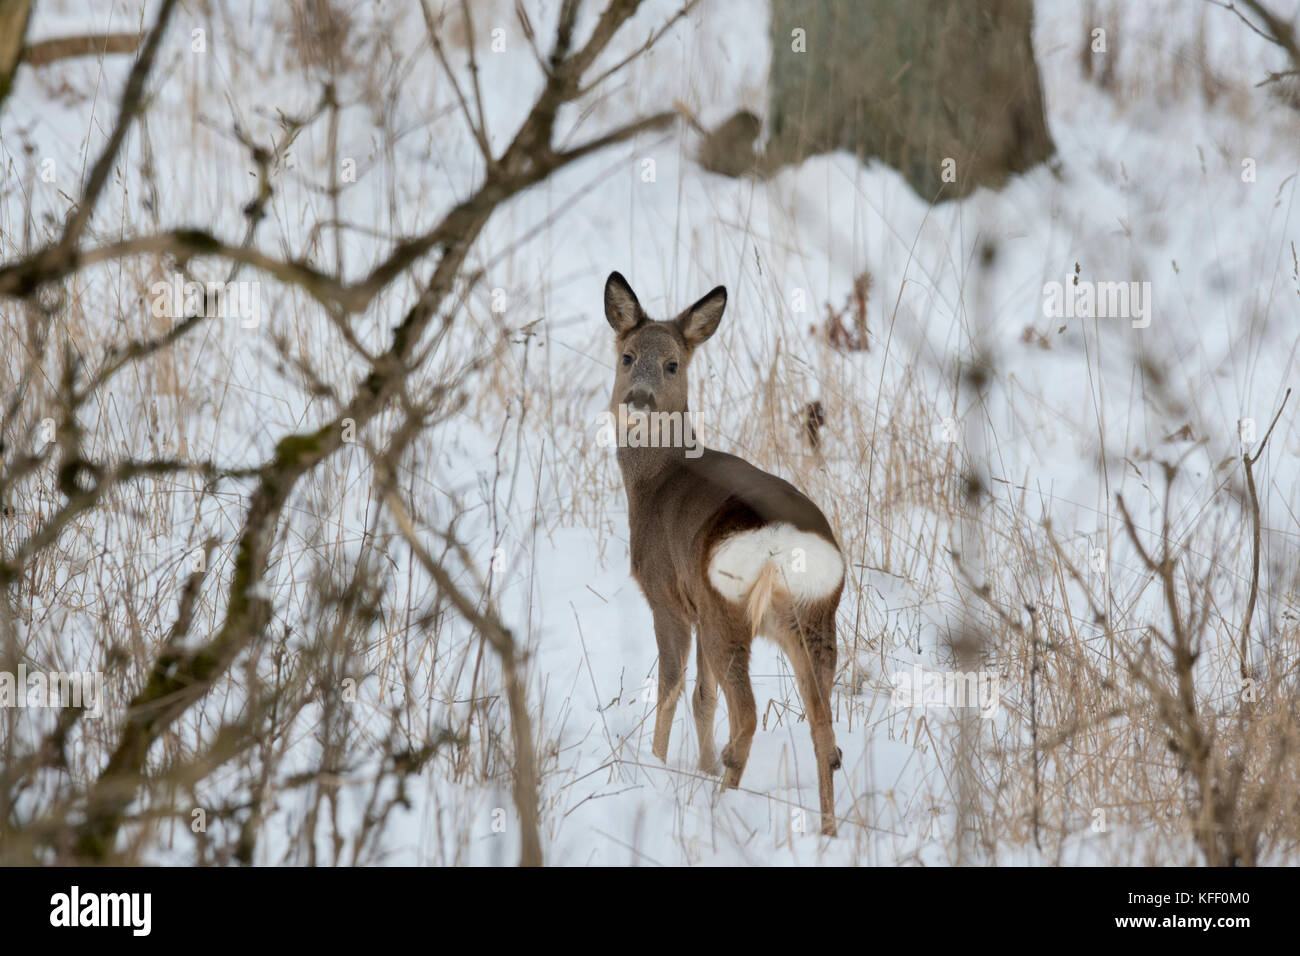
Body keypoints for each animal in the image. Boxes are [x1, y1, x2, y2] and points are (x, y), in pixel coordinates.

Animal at [603, 270, 847, 837]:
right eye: (627, 355)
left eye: (672, 363)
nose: (639, 400)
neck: (655, 482)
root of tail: (781, 542)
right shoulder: (695, 604)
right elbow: (702, 697)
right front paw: (700, 765)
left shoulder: (668, 597)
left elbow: (671, 688)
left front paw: (659, 763)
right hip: (815, 617)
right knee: (824, 728)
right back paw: (827, 831)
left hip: (727, 610)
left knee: (750, 714)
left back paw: (722, 802)